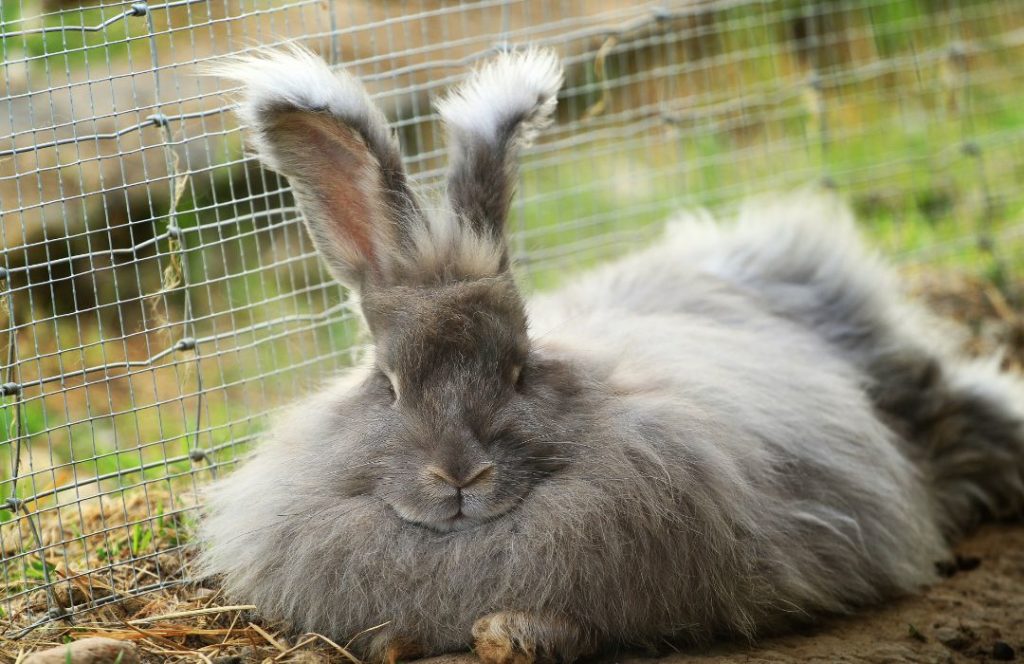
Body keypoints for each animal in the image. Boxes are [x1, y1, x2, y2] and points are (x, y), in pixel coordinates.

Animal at [197, 46, 1024, 664]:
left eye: (519, 370)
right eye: (388, 383)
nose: (460, 476)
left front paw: (511, 636)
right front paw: (403, 639)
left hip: (919, 393)